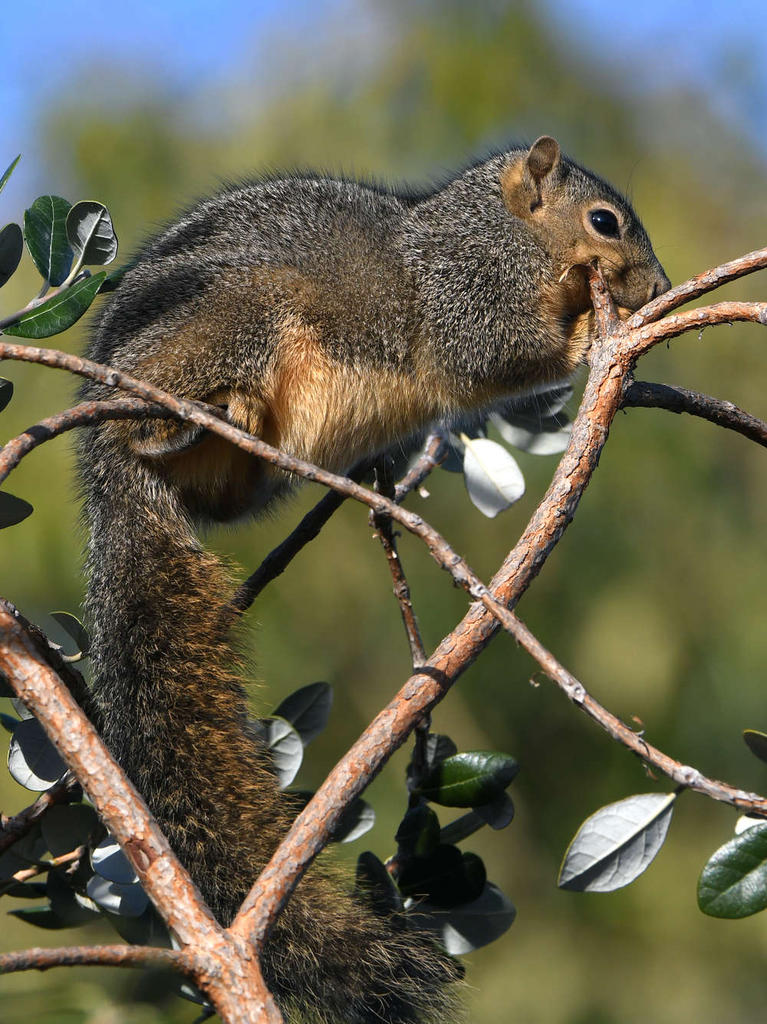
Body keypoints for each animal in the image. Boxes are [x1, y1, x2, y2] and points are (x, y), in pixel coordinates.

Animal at [77, 136, 669, 1023]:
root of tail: (106, 469)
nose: (661, 289)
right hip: (232, 319)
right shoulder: (468, 292)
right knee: (168, 415)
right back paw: (189, 418)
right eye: (604, 221)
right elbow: (497, 352)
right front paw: (597, 335)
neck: (499, 232)